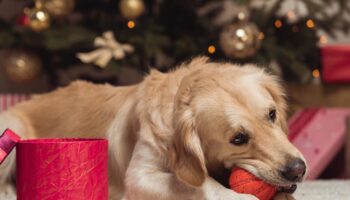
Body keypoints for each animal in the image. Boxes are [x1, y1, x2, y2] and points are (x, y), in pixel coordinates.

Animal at [0, 57, 306, 199]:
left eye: (272, 114)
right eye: (238, 138)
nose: (299, 169)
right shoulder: (139, 176)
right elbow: (198, 184)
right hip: (13, 125)